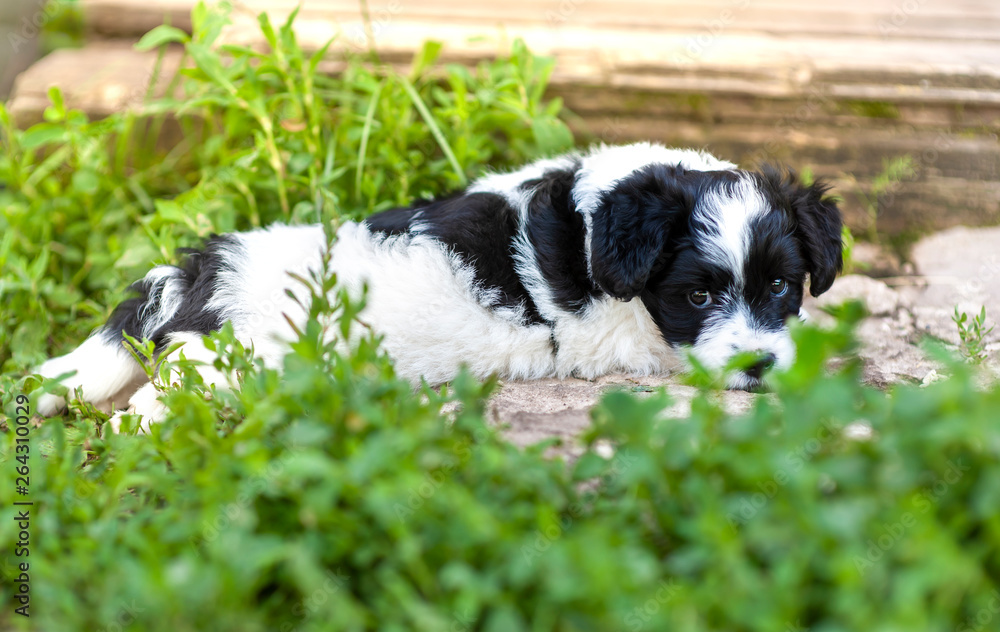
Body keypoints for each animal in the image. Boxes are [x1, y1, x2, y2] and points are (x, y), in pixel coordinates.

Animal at [35, 143, 840, 430]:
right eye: (697, 297)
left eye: (780, 287)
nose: (760, 366)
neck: (604, 215)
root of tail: (200, 269)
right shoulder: (618, 335)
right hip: (232, 361)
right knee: (149, 403)